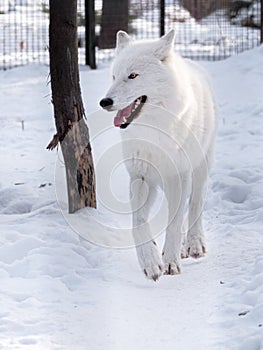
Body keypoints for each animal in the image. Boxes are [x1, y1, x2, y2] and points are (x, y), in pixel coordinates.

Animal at [100, 30, 218, 282]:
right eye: (114, 76)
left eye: (133, 75)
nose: (104, 102)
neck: (153, 132)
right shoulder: (140, 177)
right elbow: (138, 222)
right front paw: (151, 262)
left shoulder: (178, 176)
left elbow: (174, 223)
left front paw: (170, 261)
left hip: (200, 167)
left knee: (195, 204)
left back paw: (194, 244)